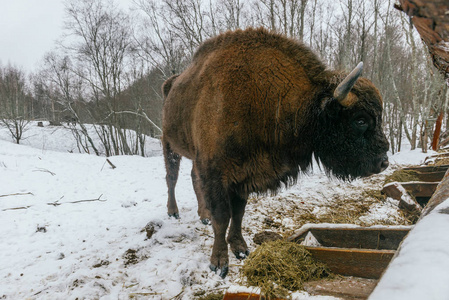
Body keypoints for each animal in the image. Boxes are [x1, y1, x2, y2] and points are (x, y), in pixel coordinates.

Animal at [161, 27, 388, 278]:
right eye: (360, 120)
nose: (383, 162)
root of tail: (171, 84)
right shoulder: (216, 172)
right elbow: (222, 217)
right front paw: (219, 263)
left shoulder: (242, 175)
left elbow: (238, 213)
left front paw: (240, 249)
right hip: (169, 143)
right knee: (171, 177)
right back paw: (173, 212)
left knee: (192, 177)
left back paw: (203, 215)